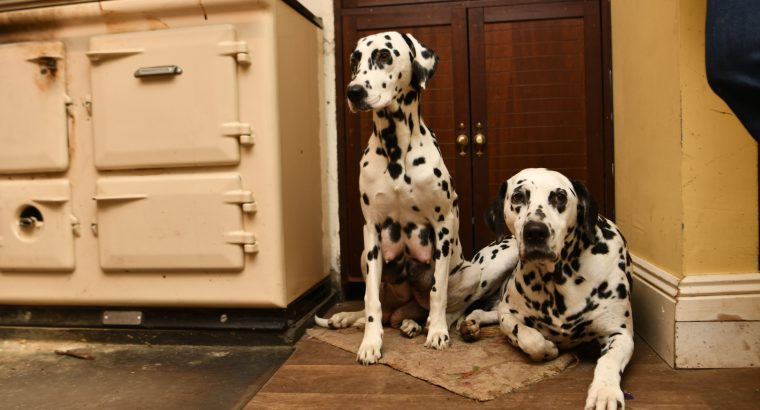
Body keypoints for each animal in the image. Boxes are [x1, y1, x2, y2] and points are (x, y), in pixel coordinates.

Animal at [314, 32, 516, 366]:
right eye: (355, 58)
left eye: (384, 55)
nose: (353, 91)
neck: (396, 150)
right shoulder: (372, 231)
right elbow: (370, 299)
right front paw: (370, 343)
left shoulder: (442, 225)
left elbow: (438, 292)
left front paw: (437, 333)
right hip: (365, 257)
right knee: (378, 308)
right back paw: (360, 319)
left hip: (471, 273)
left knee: (449, 309)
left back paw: (423, 324)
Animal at [460, 167, 632, 410]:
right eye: (518, 197)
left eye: (560, 197)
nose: (535, 231)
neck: (560, 277)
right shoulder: (509, 314)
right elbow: (527, 336)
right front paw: (546, 348)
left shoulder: (620, 334)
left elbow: (608, 361)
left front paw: (605, 392)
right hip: (490, 269)